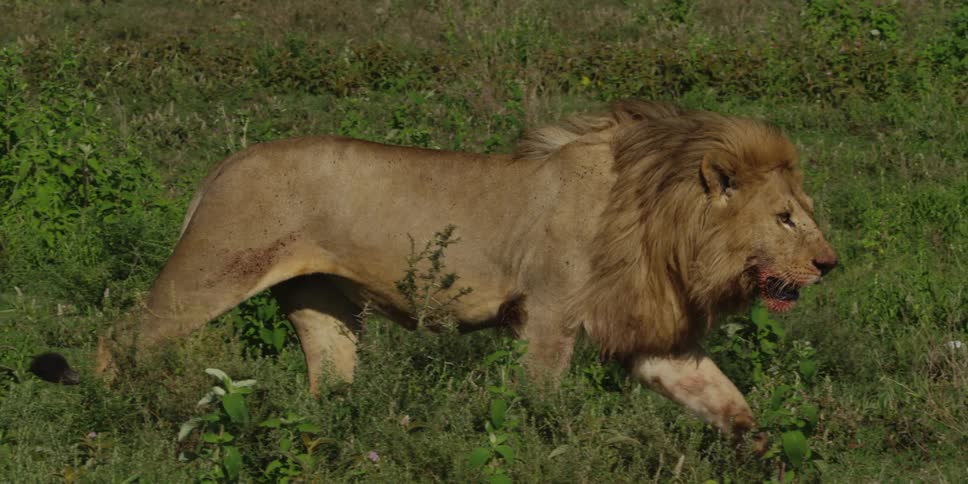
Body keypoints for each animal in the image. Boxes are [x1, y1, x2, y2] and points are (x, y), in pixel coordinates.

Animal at [71, 100, 836, 436]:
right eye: (785, 218)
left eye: (804, 210)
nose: (831, 263)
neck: (663, 224)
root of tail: (225, 163)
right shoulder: (547, 317)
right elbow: (538, 401)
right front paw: (537, 443)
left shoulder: (652, 338)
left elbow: (726, 398)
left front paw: (767, 452)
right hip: (215, 267)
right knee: (117, 339)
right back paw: (100, 416)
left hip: (322, 304)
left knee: (330, 387)